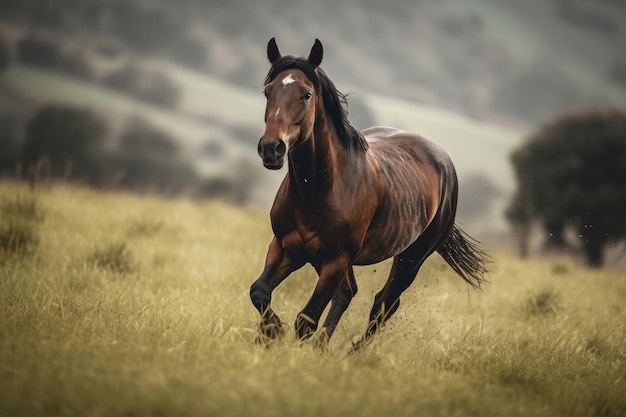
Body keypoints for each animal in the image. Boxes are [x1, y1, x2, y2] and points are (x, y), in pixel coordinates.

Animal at [249, 39, 488, 344]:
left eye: (306, 94)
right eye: (268, 92)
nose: (271, 148)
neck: (317, 191)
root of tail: (445, 162)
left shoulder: (336, 259)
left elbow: (305, 320)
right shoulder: (285, 247)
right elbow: (259, 291)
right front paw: (270, 332)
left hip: (412, 257)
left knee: (384, 303)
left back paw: (353, 350)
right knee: (350, 293)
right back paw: (323, 346)